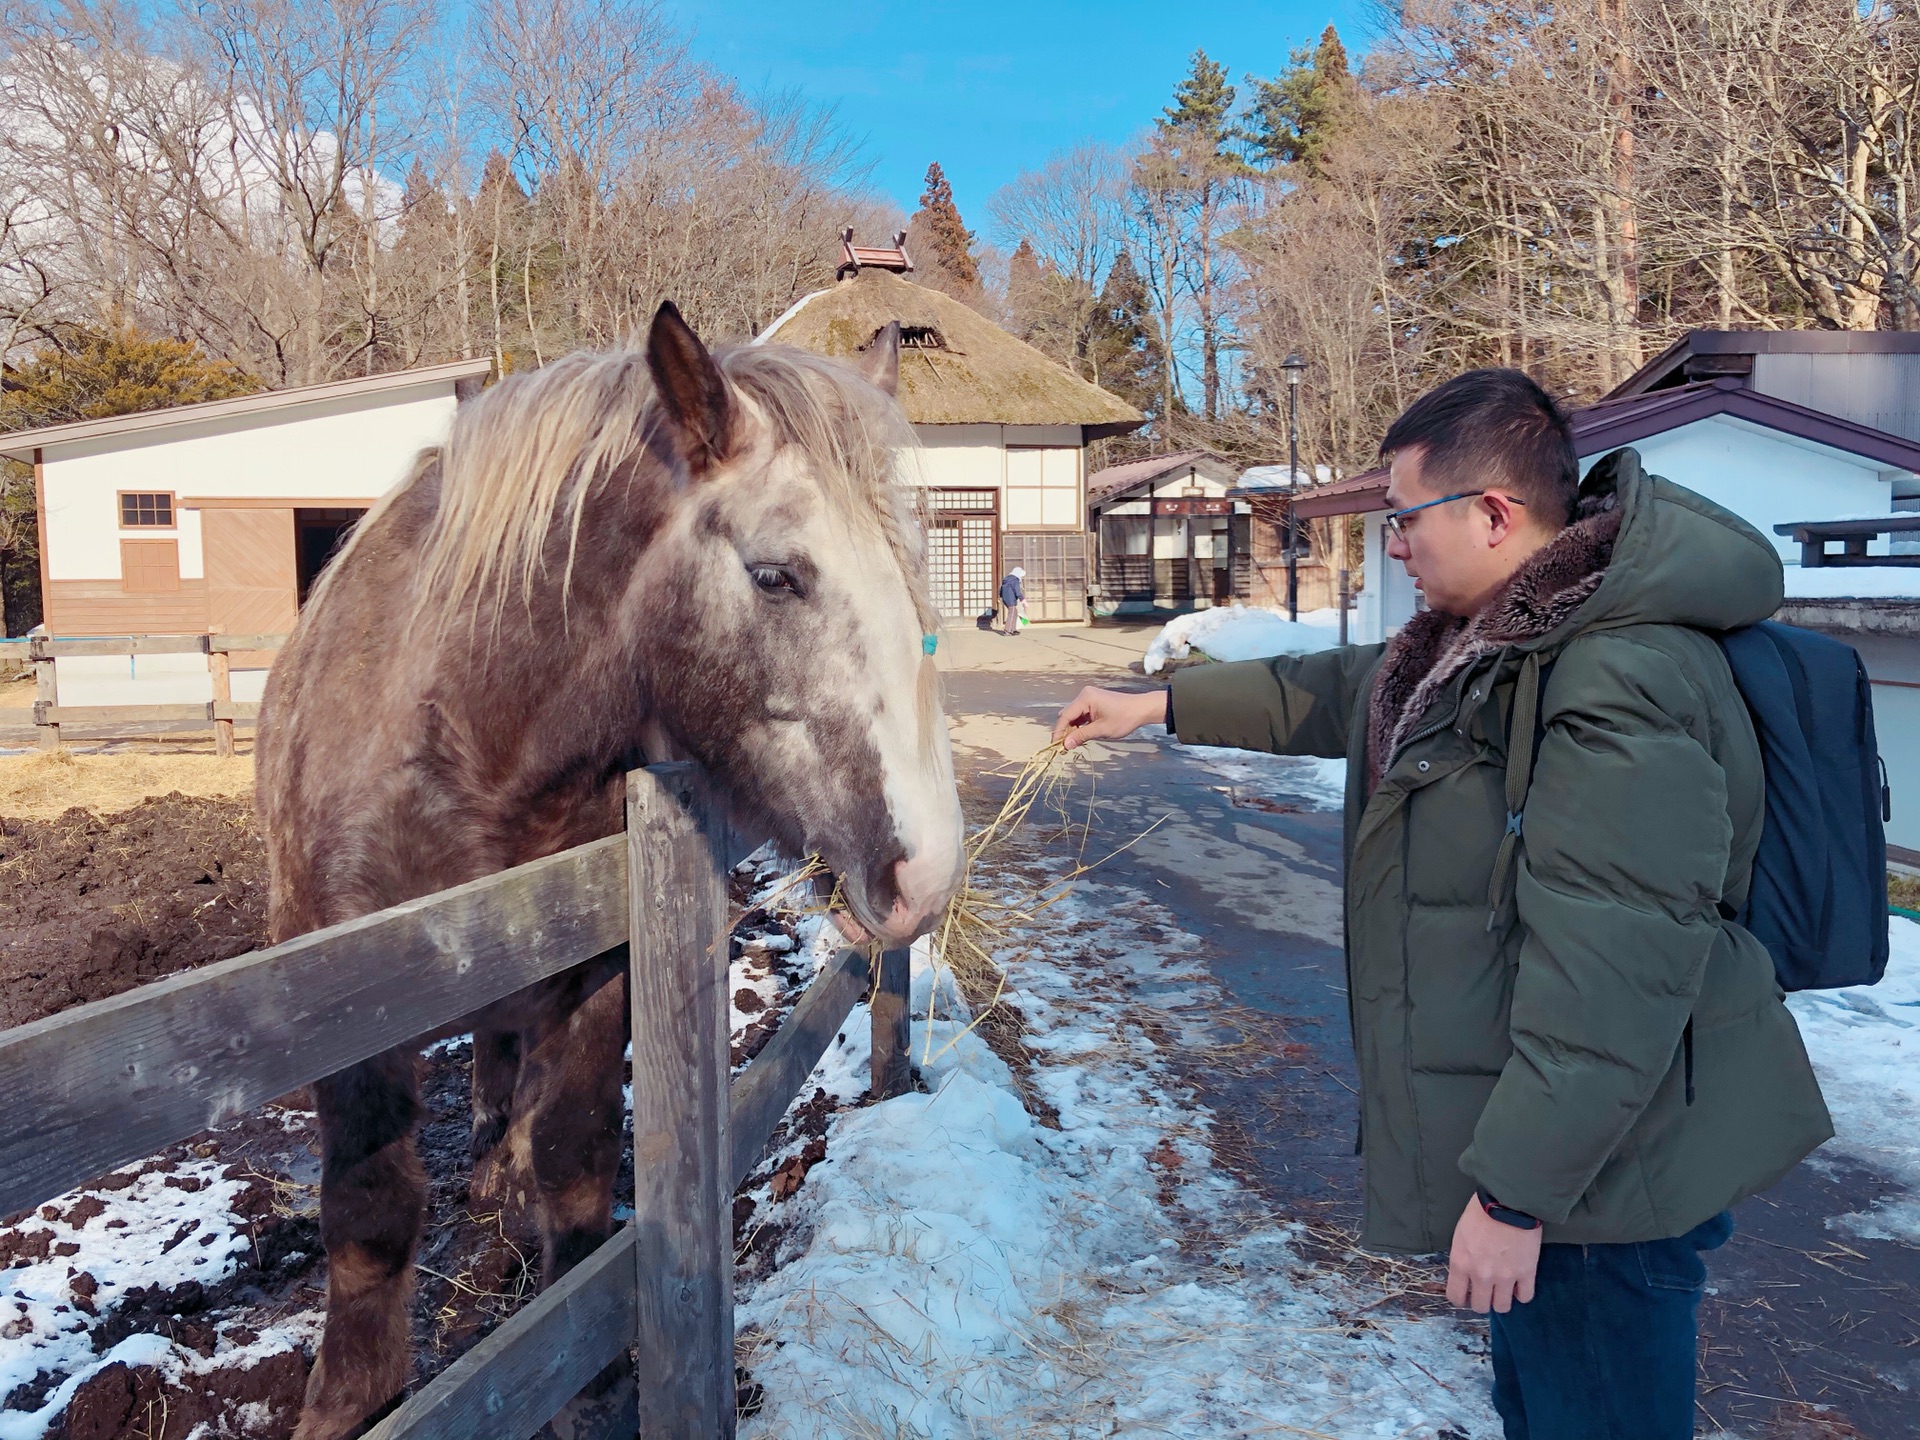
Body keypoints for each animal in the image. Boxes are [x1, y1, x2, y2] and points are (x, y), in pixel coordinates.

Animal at [257, 305, 967, 1440]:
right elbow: (371, 1217)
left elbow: (576, 1159)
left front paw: (593, 1379)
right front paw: (351, 1403)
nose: (928, 868)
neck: (464, 729)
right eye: (775, 575)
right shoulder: (340, 1011)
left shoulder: (597, 978)